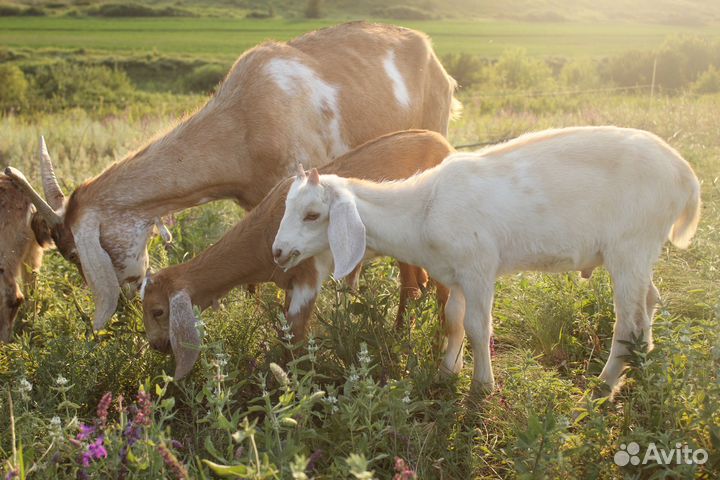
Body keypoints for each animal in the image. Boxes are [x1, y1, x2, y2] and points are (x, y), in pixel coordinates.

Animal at [141, 130, 452, 379]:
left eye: (158, 310)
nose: (156, 345)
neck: (267, 232)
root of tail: (443, 142)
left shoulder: (307, 277)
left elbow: (296, 338)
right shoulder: (287, 282)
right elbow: (284, 333)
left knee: (440, 292)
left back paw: (436, 351)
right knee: (413, 285)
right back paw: (400, 335)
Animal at [272, 126, 702, 395]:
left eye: (313, 214)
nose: (277, 251)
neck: (422, 209)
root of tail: (685, 175)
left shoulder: (478, 268)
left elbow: (478, 327)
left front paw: (482, 385)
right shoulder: (455, 274)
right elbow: (453, 320)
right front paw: (447, 372)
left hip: (629, 247)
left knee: (628, 323)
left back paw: (603, 387)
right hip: (641, 251)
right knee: (650, 302)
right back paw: (642, 368)